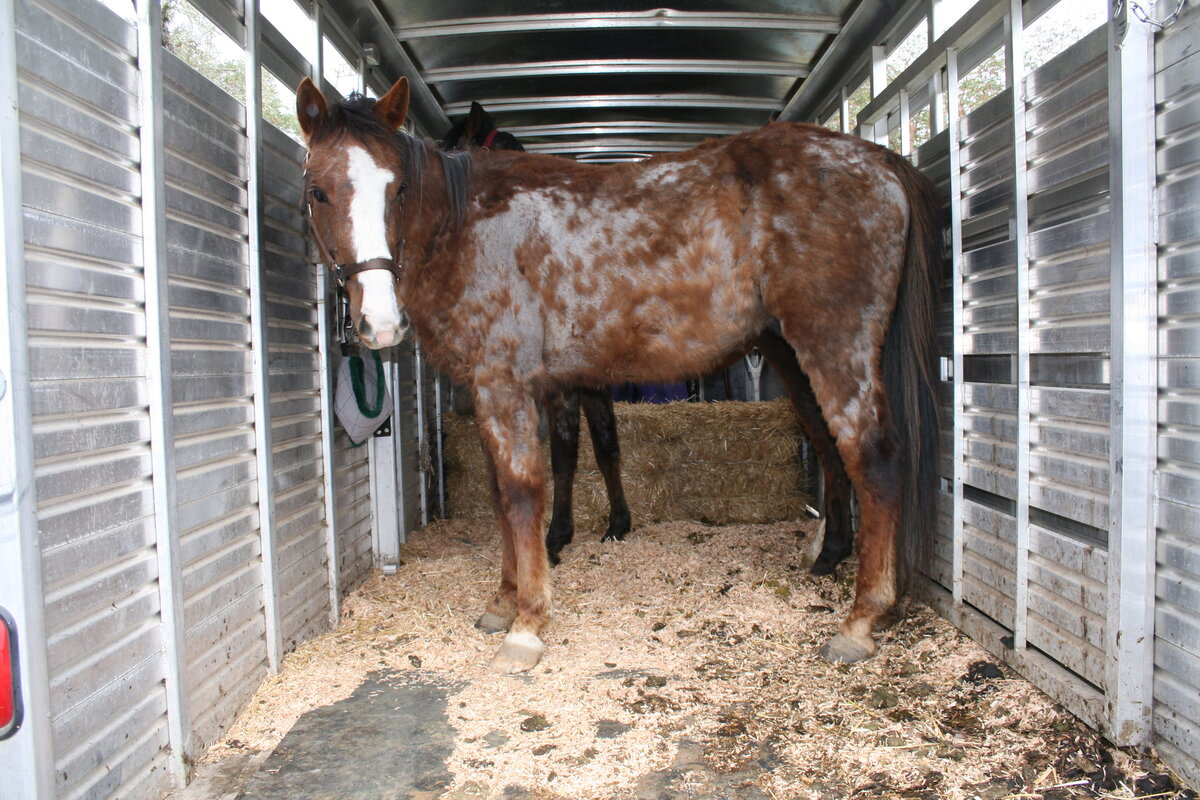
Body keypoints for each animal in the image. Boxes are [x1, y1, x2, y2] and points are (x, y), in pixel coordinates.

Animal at [446, 101, 859, 575]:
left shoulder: (564, 385)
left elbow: (565, 456)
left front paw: (556, 539)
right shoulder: (592, 382)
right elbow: (606, 446)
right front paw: (617, 525)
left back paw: (832, 552)